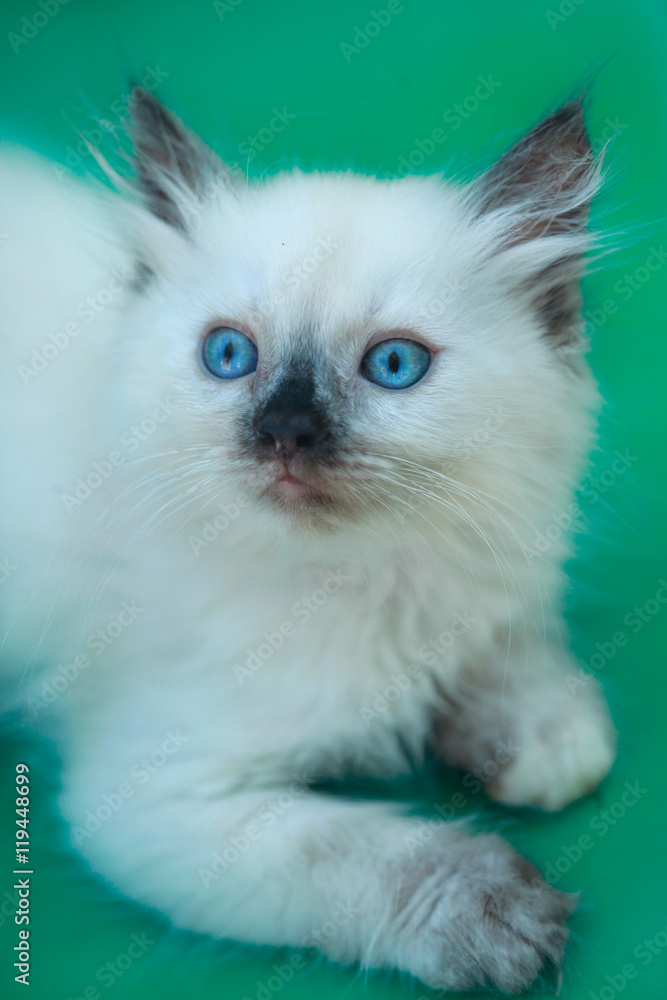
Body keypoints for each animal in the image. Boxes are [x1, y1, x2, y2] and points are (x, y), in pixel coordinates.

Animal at [0, 92, 616, 992]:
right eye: (229, 355)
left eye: (393, 366)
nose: (284, 432)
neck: (363, 577)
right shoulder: (156, 796)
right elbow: (363, 859)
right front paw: (498, 911)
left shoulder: (483, 588)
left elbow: (550, 712)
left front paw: (524, 744)